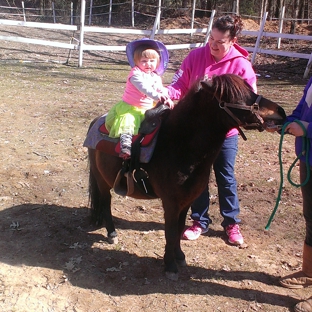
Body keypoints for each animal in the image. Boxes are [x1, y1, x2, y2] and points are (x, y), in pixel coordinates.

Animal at [86, 73, 286, 280]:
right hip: (102, 182)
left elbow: (179, 229)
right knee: (106, 203)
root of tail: (96, 121)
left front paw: (179, 256)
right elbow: (170, 232)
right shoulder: (171, 203)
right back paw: (112, 233)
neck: (178, 146)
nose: (280, 112)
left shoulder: (186, 202)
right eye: (236, 98)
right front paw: (169, 264)